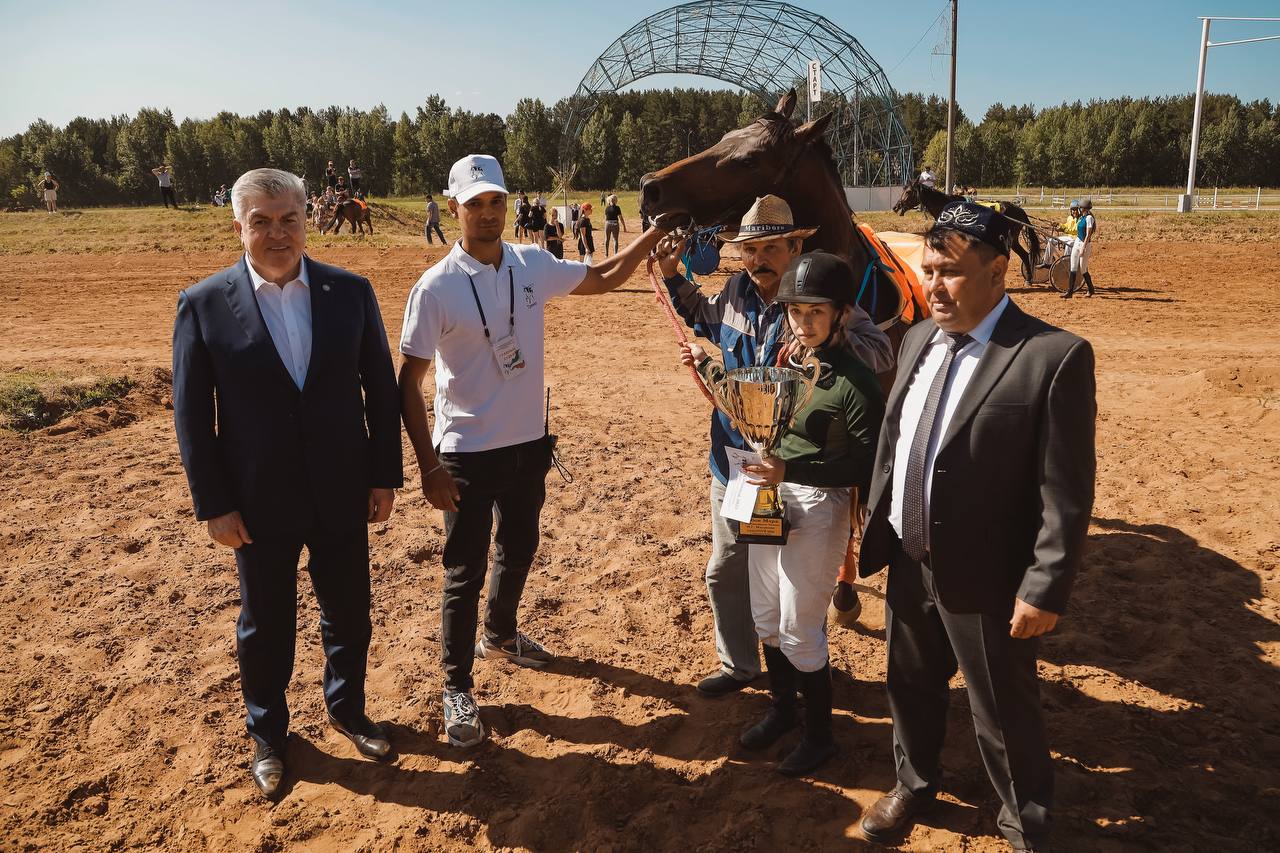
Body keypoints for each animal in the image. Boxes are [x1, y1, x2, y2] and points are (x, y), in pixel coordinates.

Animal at [890, 178, 1039, 279]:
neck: (948, 206)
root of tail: (1019, 210)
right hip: (1013, 240)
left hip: (1010, 239)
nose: (896, 207)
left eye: (908, 191)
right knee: (1024, 254)